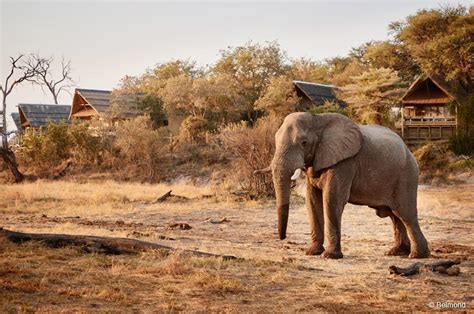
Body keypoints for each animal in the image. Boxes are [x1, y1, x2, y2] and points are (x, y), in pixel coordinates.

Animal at [260, 111, 430, 258]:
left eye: (304, 142)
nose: (282, 238)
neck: (318, 120)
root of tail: (409, 150)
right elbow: (312, 201)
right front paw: (312, 252)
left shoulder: (345, 163)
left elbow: (332, 199)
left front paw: (329, 256)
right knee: (395, 215)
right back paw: (396, 252)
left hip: (407, 175)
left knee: (405, 214)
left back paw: (417, 255)